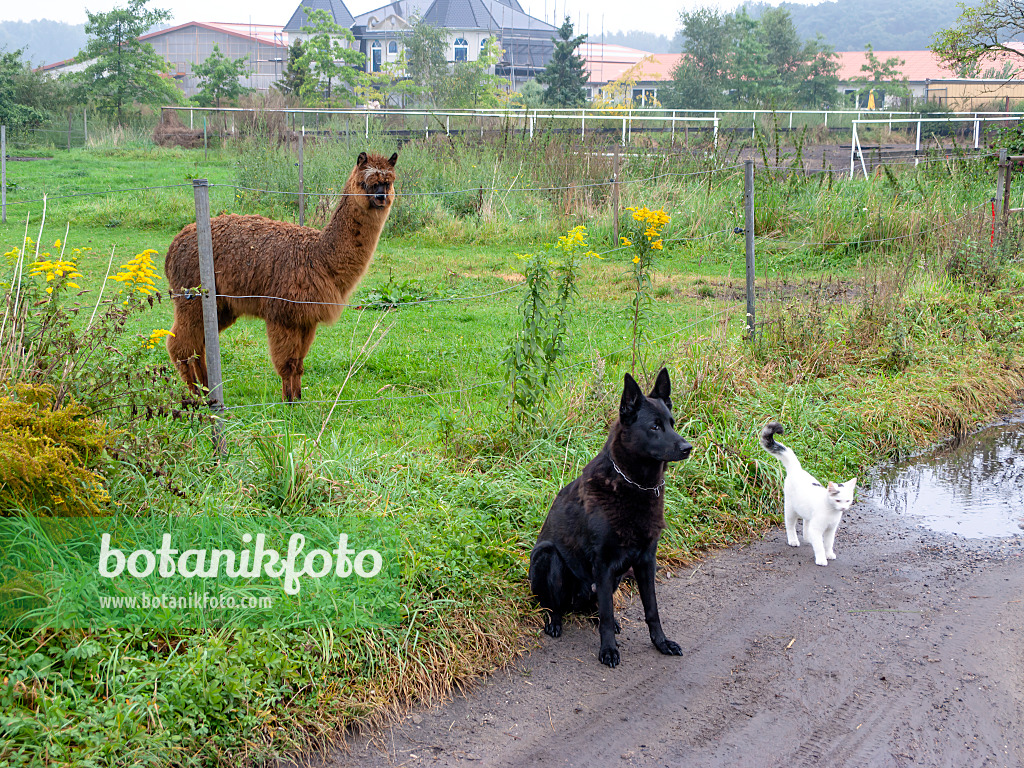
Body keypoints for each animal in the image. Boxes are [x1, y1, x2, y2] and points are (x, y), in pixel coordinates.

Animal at [532, 370, 692, 667]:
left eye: (672, 423)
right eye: (654, 427)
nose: (688, 447)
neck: (633, 485)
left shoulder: (646, 561)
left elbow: (652, 610)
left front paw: (661, 643)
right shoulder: (604, 564)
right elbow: (606, 615)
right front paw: (608, 650)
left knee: (595, 607)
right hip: (549, 556)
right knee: (554, 605)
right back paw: (555, 622)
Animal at [761, 421, 856, 565]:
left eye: (848, 500)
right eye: (838, 500)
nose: (844, 508)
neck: (832, 512)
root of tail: (797, 469)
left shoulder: (831, 529)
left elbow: (828, 543)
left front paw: (829, 554)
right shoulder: (817, 528)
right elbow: (820, 546)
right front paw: (821, 559)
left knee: (806, 524)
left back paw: (808, 538)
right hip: (790, 509)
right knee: (790, 525)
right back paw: (793, 540)